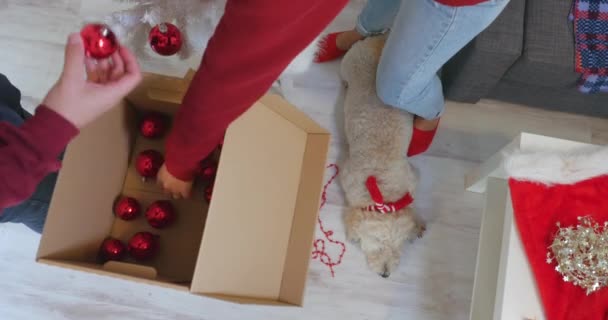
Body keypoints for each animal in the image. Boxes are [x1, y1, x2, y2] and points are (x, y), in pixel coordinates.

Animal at [340, 37, 426, 278]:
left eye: (398, 247)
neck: (385, 195)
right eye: (376, 246)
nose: (385, 275)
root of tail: (380, 40)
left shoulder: (412, 178)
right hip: (348, 62)